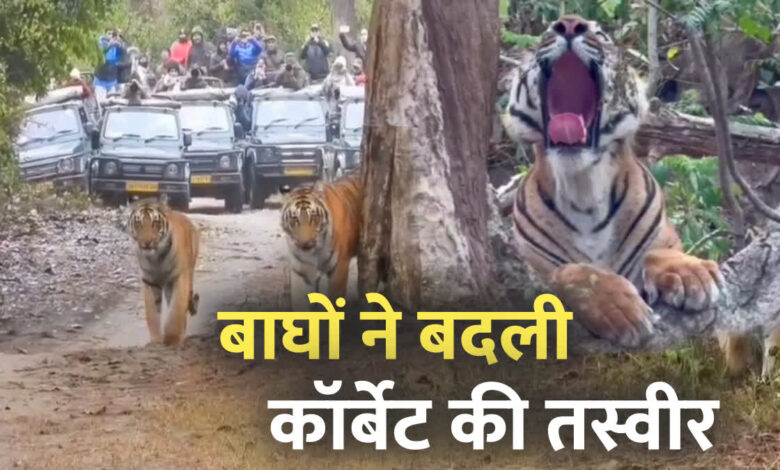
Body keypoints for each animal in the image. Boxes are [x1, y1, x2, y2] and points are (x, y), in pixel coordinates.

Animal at [129, 199, 200, 345]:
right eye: (138, 224)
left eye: (155, 224)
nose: (146, 242)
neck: (156, 258)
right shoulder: (149, 281)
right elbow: (152, 314)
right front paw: (156, 341)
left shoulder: (179, 278)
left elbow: (176, 310)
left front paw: (172, 339)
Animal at [281, 175, 362, 309]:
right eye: (294, 219)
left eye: (314, 217)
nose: (305, 243)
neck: (314, 253)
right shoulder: (300, 271)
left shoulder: (338, 268)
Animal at [502, 15, 724, 349]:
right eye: (546, 33)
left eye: (601, 33)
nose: (569, 23)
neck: (583, 186)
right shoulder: (530, 267)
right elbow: (573, 272)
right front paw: (618, 309)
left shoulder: (662, 236)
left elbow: (660, 251)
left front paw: (692, 273)